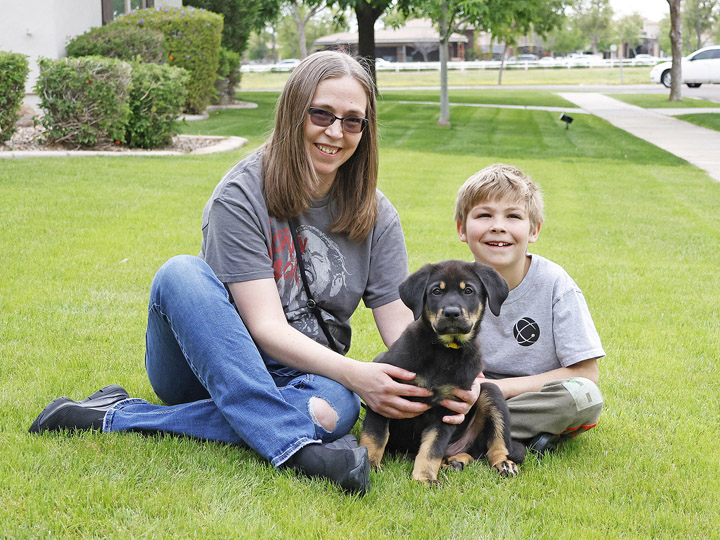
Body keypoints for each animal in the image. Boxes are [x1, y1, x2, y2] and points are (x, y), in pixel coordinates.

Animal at [358, 260, 524, 486]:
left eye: (468, 291)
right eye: (436, 291)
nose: (452, 313)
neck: (444, 351)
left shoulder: (447, 408)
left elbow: (432, 448)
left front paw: (424, 479)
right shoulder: (383, 393)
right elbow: (375, 435)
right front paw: (371, 466)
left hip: (491, 392)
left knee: (491, 447)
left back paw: (501, 463)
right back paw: (454, 462)